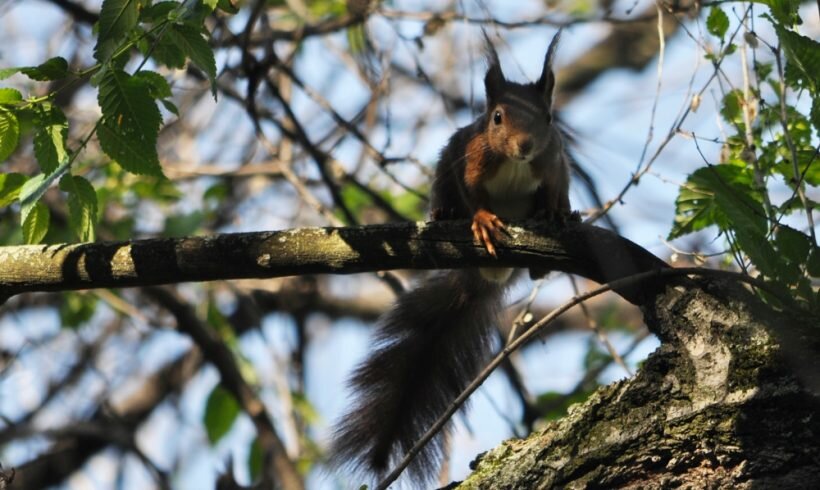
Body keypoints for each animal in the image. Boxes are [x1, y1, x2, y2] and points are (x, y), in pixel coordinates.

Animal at [326, 31, 572, 486]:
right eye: (496, 118)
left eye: (548, 118)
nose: (525, 146)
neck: (515, 164)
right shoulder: (468, 157)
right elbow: (472, 193)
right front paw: (481, 220)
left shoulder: (555, 164)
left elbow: (554, 191)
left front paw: (554, 213)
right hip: (444, 167)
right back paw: (445, 215)